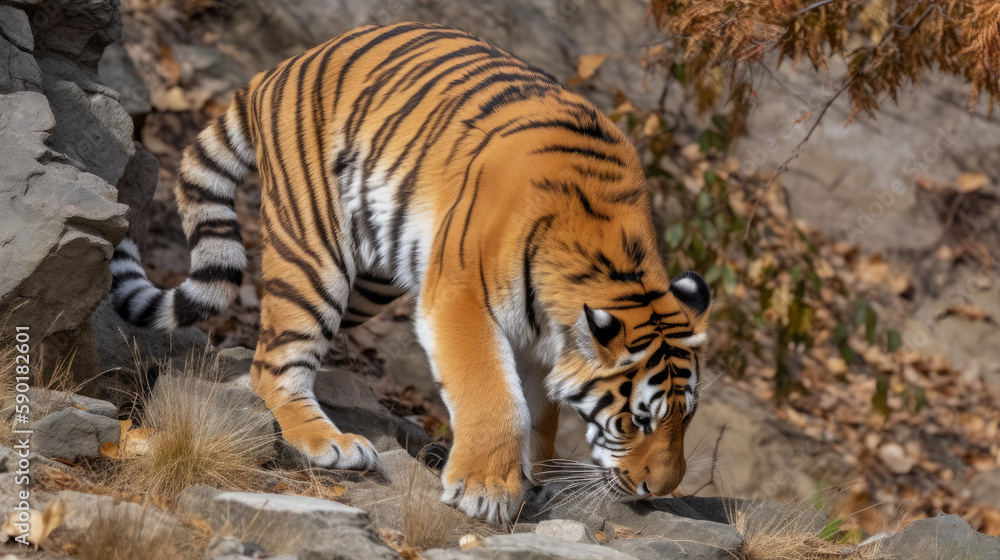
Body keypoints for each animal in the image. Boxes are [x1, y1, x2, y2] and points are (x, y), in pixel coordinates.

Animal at [109, 22, 711, 524]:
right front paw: (486, 489)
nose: (659, 491)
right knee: (273, 361)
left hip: (371, 282)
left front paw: (534, 477)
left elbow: (540, 413)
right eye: (638, 421)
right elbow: (497, 398)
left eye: (686, 419)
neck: (614, 271)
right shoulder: (461, 297)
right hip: (316, 253)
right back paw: (328, 441)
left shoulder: (540, 341)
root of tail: (279, 68)